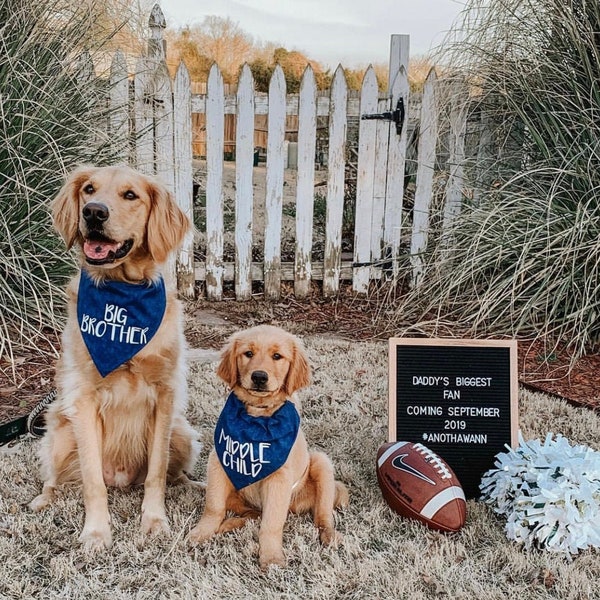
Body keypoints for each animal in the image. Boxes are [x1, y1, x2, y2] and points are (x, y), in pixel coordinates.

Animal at [28, 164, 200, 548]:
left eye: (130, 195)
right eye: (89, 189)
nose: (93, 212)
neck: (123, 295)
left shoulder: (165, 396)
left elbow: (157, 473)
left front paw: (154, 520)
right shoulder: (83, 400)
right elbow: (92, 481)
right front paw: (96, 532)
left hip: (180, 432)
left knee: (174, 472)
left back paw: (193, 484)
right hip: (60, 432)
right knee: (54, 478)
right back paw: (42, 500)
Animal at [190, 326, 350, 568]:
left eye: (277, 356)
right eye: (248, 353)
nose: (259, 377)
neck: (257, 418)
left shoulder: (279, 478)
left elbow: (271, 523)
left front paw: (272, 557)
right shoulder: (218, 462)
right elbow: (213, 506)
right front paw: (202, 533)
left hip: (321, 463)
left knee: (322, 516)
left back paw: (329, 536)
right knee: (252, 513)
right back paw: (228, 525)